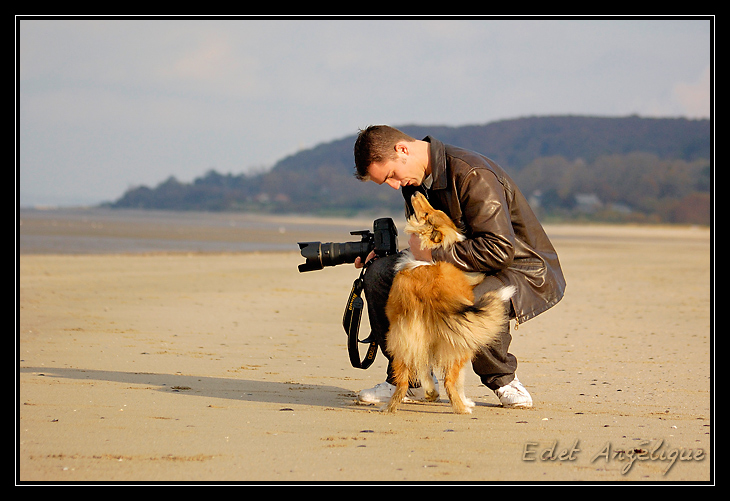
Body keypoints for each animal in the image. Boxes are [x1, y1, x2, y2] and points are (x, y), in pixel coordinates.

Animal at [384, 191, 516, 414]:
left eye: (429, 212)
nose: (416, 192)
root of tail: (431, 293)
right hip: (459, 343)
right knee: (450, 380)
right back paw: (462, 408)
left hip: (406, 338)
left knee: (408, 375)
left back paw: (394, 406)